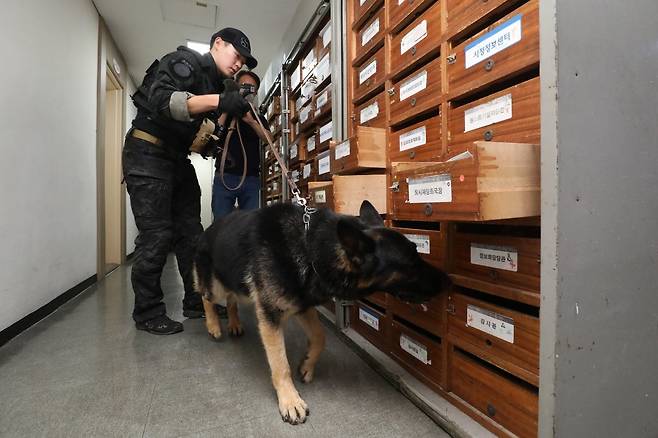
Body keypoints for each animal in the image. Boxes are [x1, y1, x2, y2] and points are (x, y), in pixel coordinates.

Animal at [193, 201, 452, 424]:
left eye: (416, 251)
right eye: (411, 263)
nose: (448, 282)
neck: (310, 246)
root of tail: (209, 228)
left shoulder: (302, 306)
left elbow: (320, 337)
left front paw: (307, 364)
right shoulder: (271, 317)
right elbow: (280, 363)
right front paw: (289, 400)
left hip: (237, 286)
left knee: (231, 300)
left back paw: (234, 324)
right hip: (216, 286)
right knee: (206, 296)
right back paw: (213, 326)